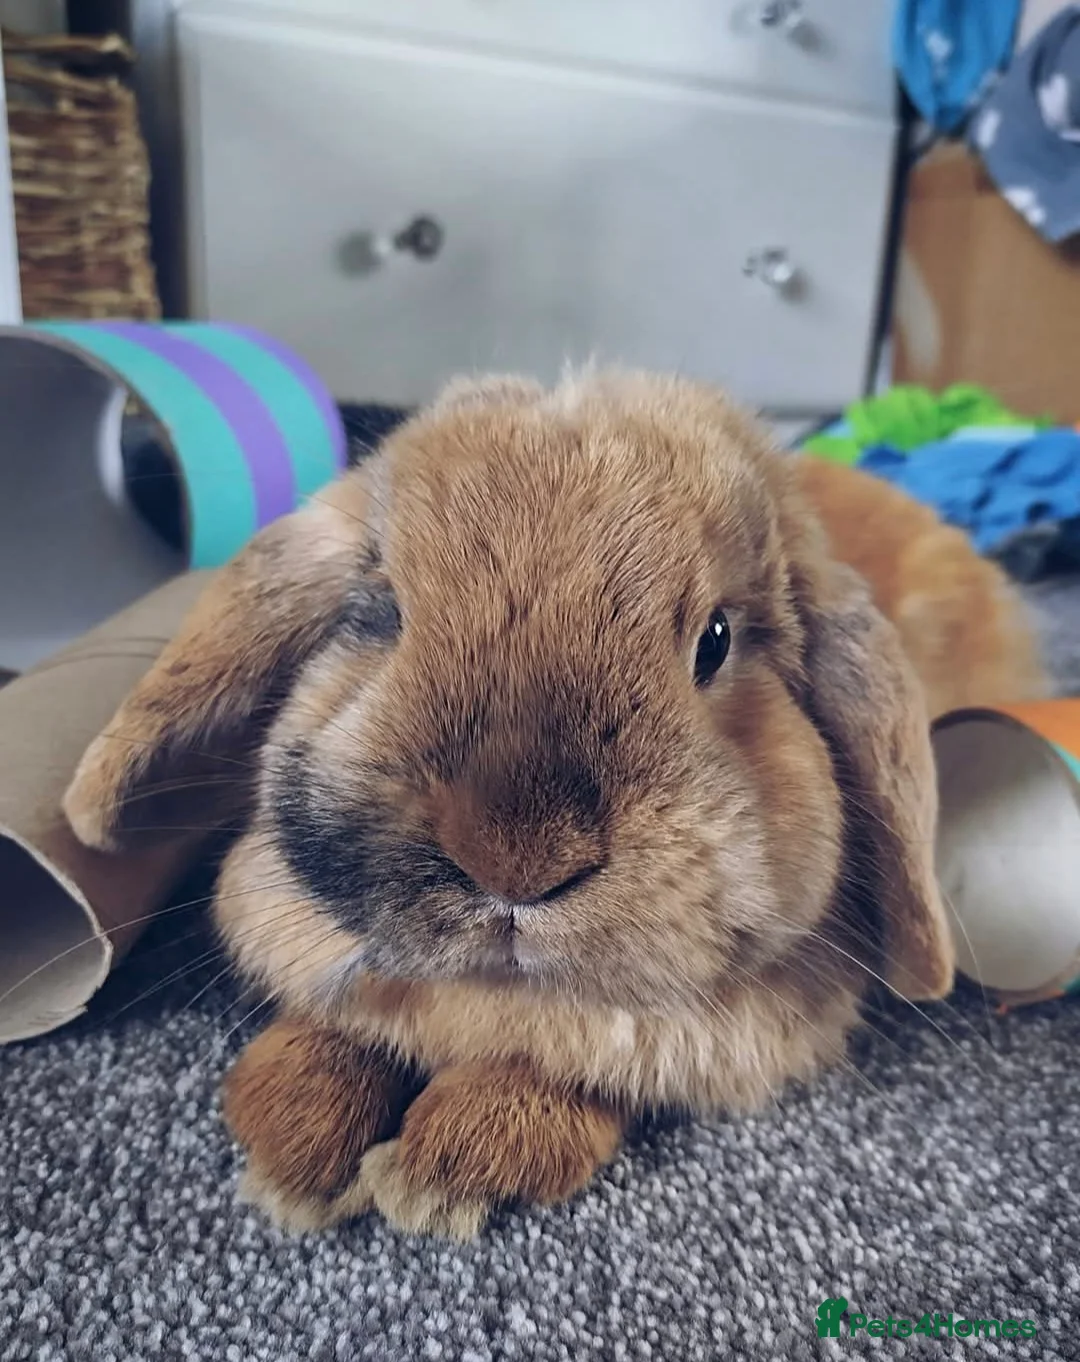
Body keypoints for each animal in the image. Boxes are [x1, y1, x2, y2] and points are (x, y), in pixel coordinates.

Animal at [62, 370, 1045, 1240]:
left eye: (715, 640)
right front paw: (293, 1156)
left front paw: (436, 1175)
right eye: (379, 614)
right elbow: (329, 1037)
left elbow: (568, 1076)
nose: (513, 859)